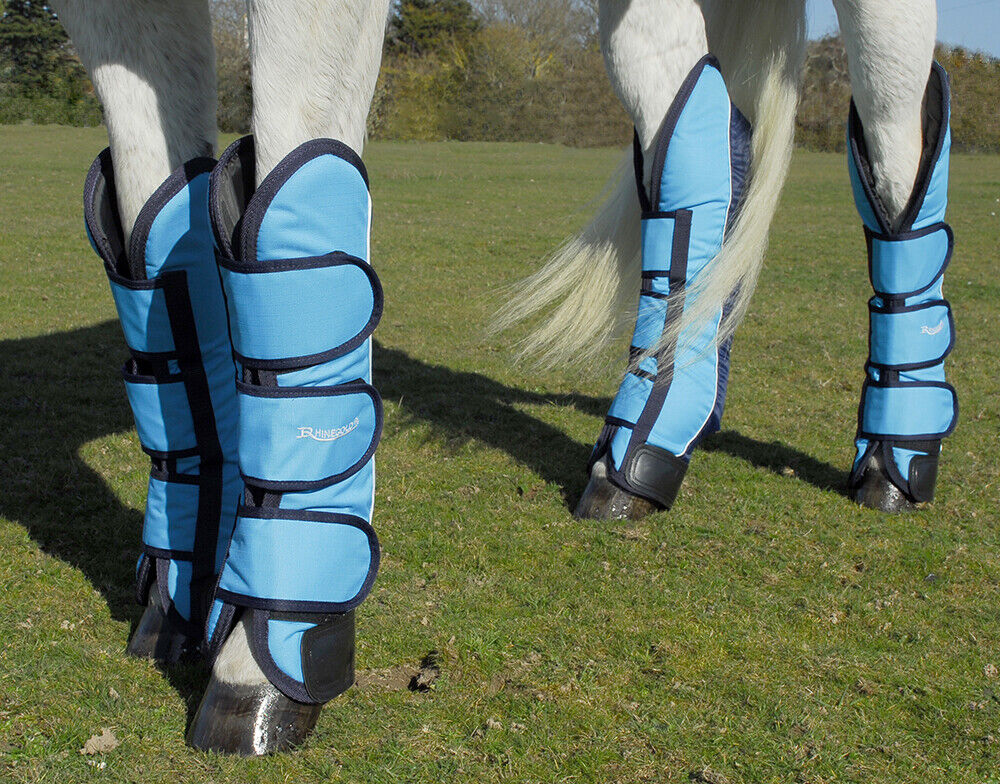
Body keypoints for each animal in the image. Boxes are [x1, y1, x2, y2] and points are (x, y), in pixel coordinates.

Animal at [50, 0, 954, 757]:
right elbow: (154, 210)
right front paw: (179, 605)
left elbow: (292, 177)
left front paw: (256, 669)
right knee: (695, 124)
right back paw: (650, 448)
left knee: (894, 148)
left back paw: (893, 456)